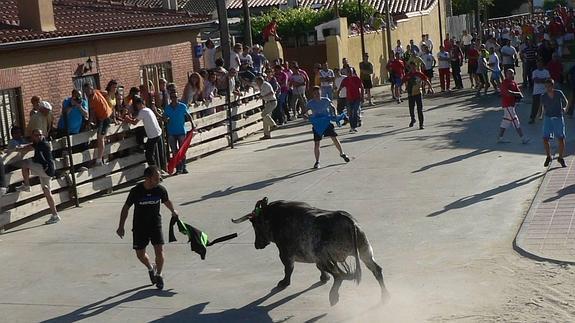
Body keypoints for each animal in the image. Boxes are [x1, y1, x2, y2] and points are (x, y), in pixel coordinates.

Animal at [232, 197, 390, 306]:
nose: (257, 245)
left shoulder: (285, 254)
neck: (275, 217)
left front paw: (284, 282)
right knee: (376, 270)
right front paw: (324, 278)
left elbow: (288, 269)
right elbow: (317, 268)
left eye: (255, 225)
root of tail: (347, 220)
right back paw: (385, 296)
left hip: (328, 258)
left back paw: (333, 297)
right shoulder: (314, 258)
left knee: (339, 275)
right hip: (364, 251)